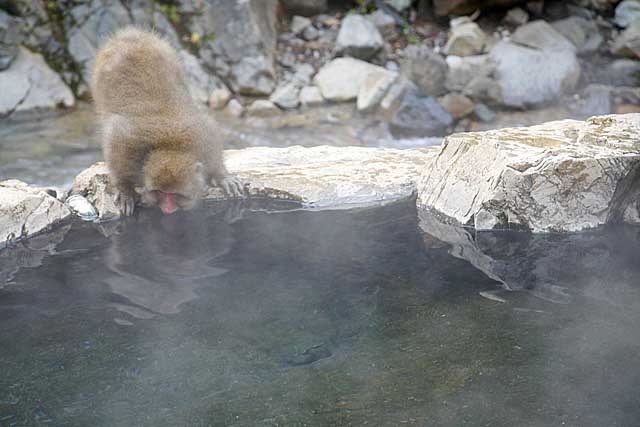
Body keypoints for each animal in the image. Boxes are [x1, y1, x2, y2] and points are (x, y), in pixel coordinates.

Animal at [92, 27, 245, 216]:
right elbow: (115, 150)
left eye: (176, 195)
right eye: (159, 192)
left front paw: (222, 176)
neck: (172, 145)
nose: (167, 209)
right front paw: (125, 189)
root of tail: (130, 35)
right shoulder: (127, 143)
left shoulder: (205, 138)